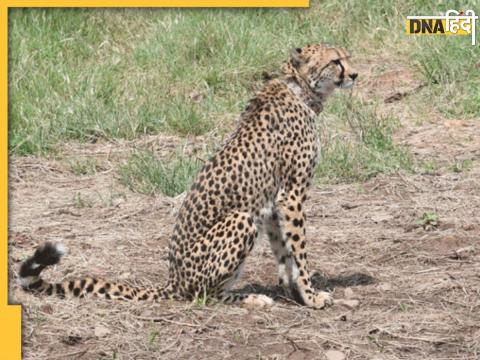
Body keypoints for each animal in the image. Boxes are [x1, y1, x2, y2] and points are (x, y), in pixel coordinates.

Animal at [19, 43, 356, 310]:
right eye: (336, 61)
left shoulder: (273, 204)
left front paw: (294, 292)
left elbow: (284, 253)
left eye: (347, 57)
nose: (354, 75)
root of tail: (173, 280)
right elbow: (299, 251)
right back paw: (248, 298)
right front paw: (311, 296)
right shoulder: (291, 196)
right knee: (202, 295)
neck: (300, 89)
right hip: (240, 220)